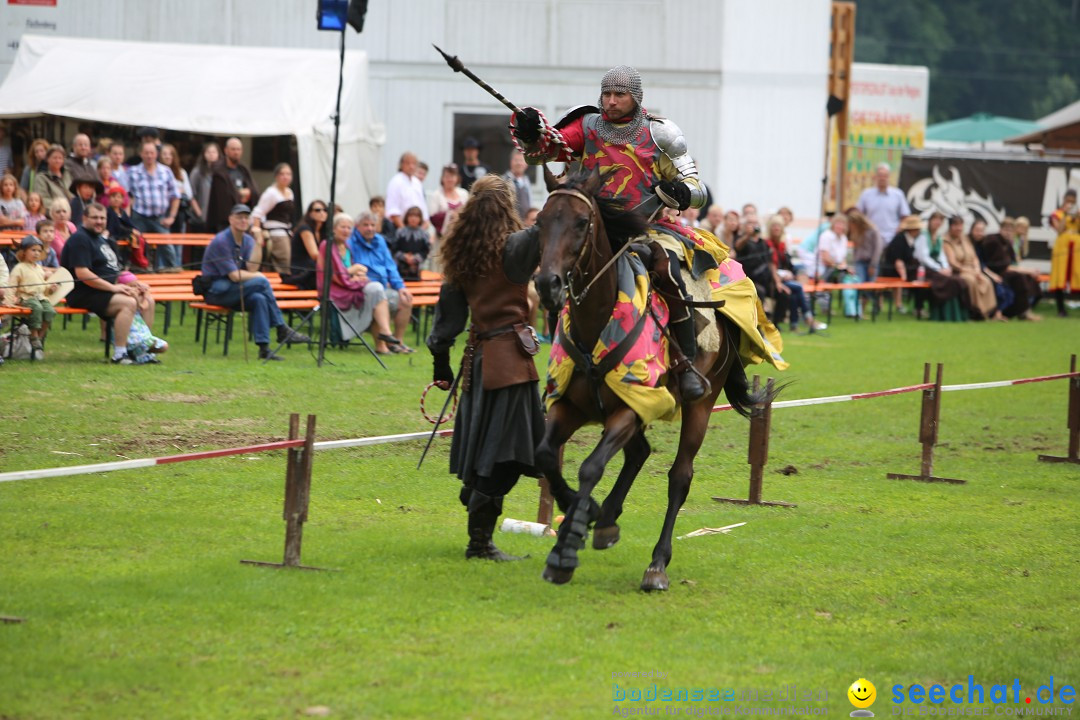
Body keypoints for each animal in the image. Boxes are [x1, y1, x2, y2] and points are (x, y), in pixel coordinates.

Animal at [533, 169, 777, 591]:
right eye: (541, 222)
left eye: (581, 223)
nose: (547, 284)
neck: (598, 322)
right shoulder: (571, 406)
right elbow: (547, 455)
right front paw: (581, 516)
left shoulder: (633, 407)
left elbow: (590, 467)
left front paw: (566, 549)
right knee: (639, 453)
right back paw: (606, 520)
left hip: (699, 405)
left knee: (679, 476)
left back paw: (656, 565)